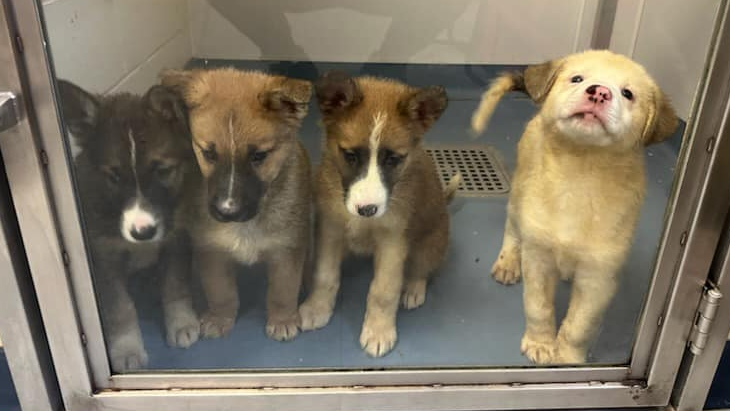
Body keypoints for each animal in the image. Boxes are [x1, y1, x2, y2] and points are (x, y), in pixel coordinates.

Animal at [58, 79, 200, 372]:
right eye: (114, 176)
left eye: (162, 171)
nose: (142, 232)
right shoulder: (104, 258)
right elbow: (120, 308)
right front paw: (126, 350)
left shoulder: (177, 240)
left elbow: (175, 286)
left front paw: (182, 323)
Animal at [161, 69, 312, 342]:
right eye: (208, 153)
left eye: (259, 156)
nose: (227, 211)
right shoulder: (211, 251)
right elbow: (220, 292)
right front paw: (220, 319)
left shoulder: (286, 249)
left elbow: (283, 291)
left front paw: (283, 319)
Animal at [298, 72, 458, 358]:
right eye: (350, 155)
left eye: (393, 159)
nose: (367, 210)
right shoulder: (330, 229)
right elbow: (324, 275)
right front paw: (317, 307)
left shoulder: (393, 242)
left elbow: (383, 290)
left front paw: (378, 330)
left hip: (431, 242)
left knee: (422, 269)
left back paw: (413, 288)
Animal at [472, 50, 676, 366]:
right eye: (577, 78)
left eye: (628, 93)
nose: (599, 92)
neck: (580, 173)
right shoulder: (539, 260)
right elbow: (539, 308)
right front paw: (541, 344)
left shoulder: (599, 278)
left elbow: (580, 325)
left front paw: (567, 357)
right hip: (519, 196)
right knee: (512, 228)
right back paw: (507, 262)